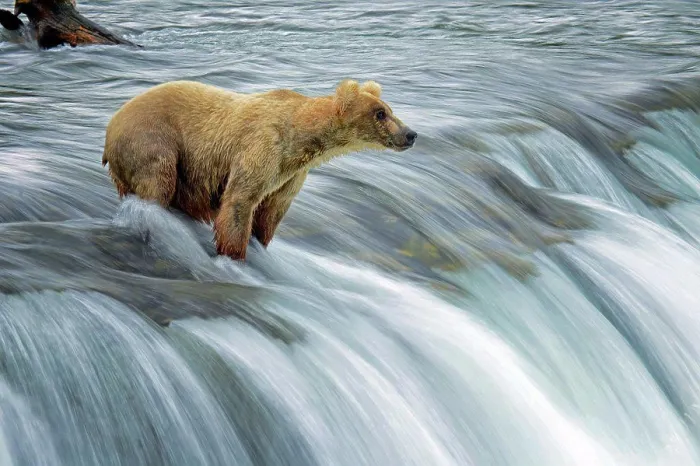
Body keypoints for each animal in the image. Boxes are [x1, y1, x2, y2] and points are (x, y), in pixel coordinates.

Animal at [102, 79, 417, 261]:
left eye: (389, 109)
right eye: (380, 113)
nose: (411, 134)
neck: (302, 139)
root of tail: (111, 124)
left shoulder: (290, 174)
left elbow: (272, 211)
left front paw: (260, 244)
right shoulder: (262, 149)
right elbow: (240, 201)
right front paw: (234, 256)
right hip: (152, 141)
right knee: (158, 184)